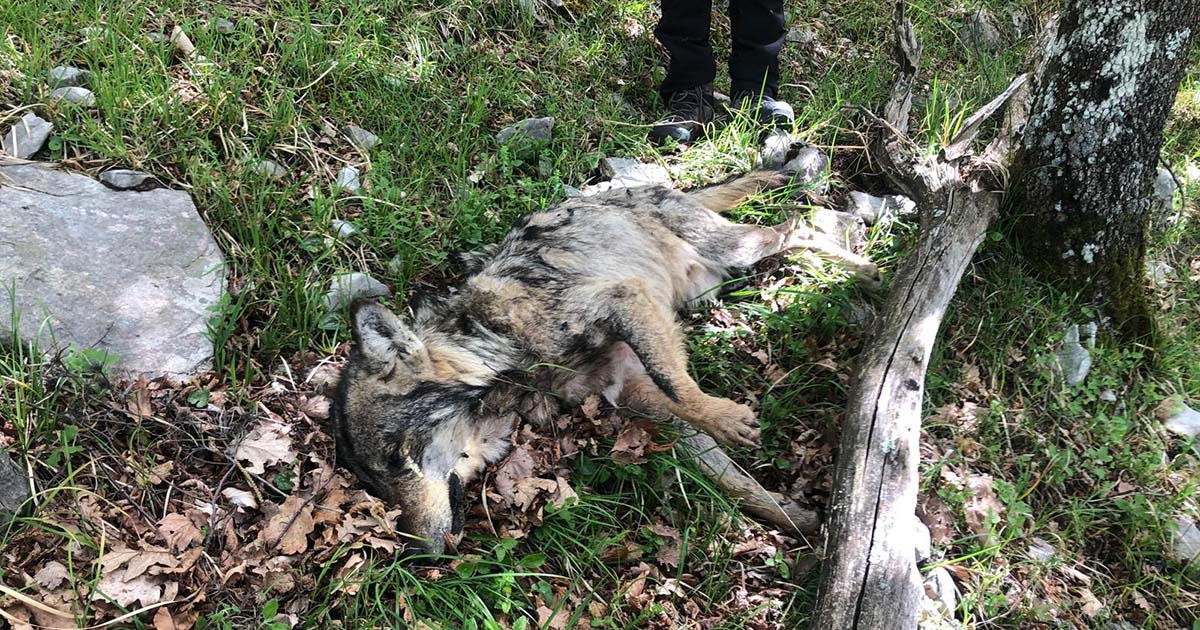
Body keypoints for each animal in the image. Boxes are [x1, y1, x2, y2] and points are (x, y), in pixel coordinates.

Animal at [331, 158, 878, 554]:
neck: (496, 344)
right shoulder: (633, 392)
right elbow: (735, 479)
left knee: (796, 228)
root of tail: (645, 189)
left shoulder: (624, 303)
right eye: (375, 484)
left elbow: (677, 381)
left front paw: (724, 416)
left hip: (738, 249)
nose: (418, 557)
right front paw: (796, 520)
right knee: (792, 235)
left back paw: (867, 270)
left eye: (398, 460)